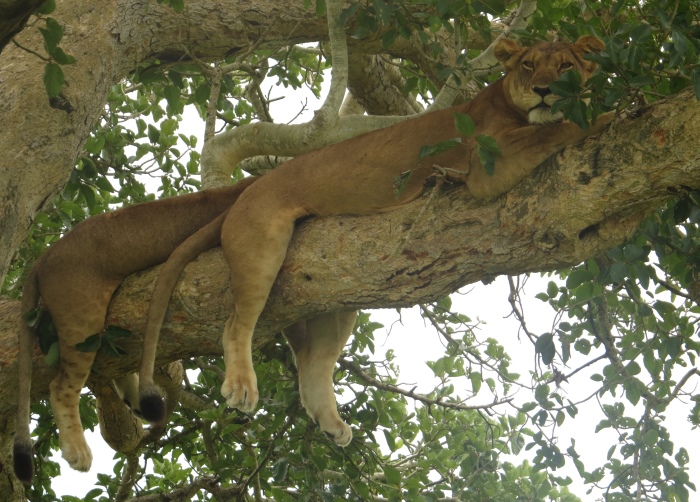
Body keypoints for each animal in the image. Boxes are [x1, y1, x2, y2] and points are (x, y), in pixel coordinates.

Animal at [134, 36, 613, 448]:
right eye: (529, 65)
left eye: (565, 66)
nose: (544, 91)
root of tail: (246, 192)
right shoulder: (486, 165)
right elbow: (556, 130)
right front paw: (608, 117)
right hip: (262, 243)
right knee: (237, 323)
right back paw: (241, 387)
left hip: (333, 293)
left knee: (313, 361)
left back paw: (332, 424)